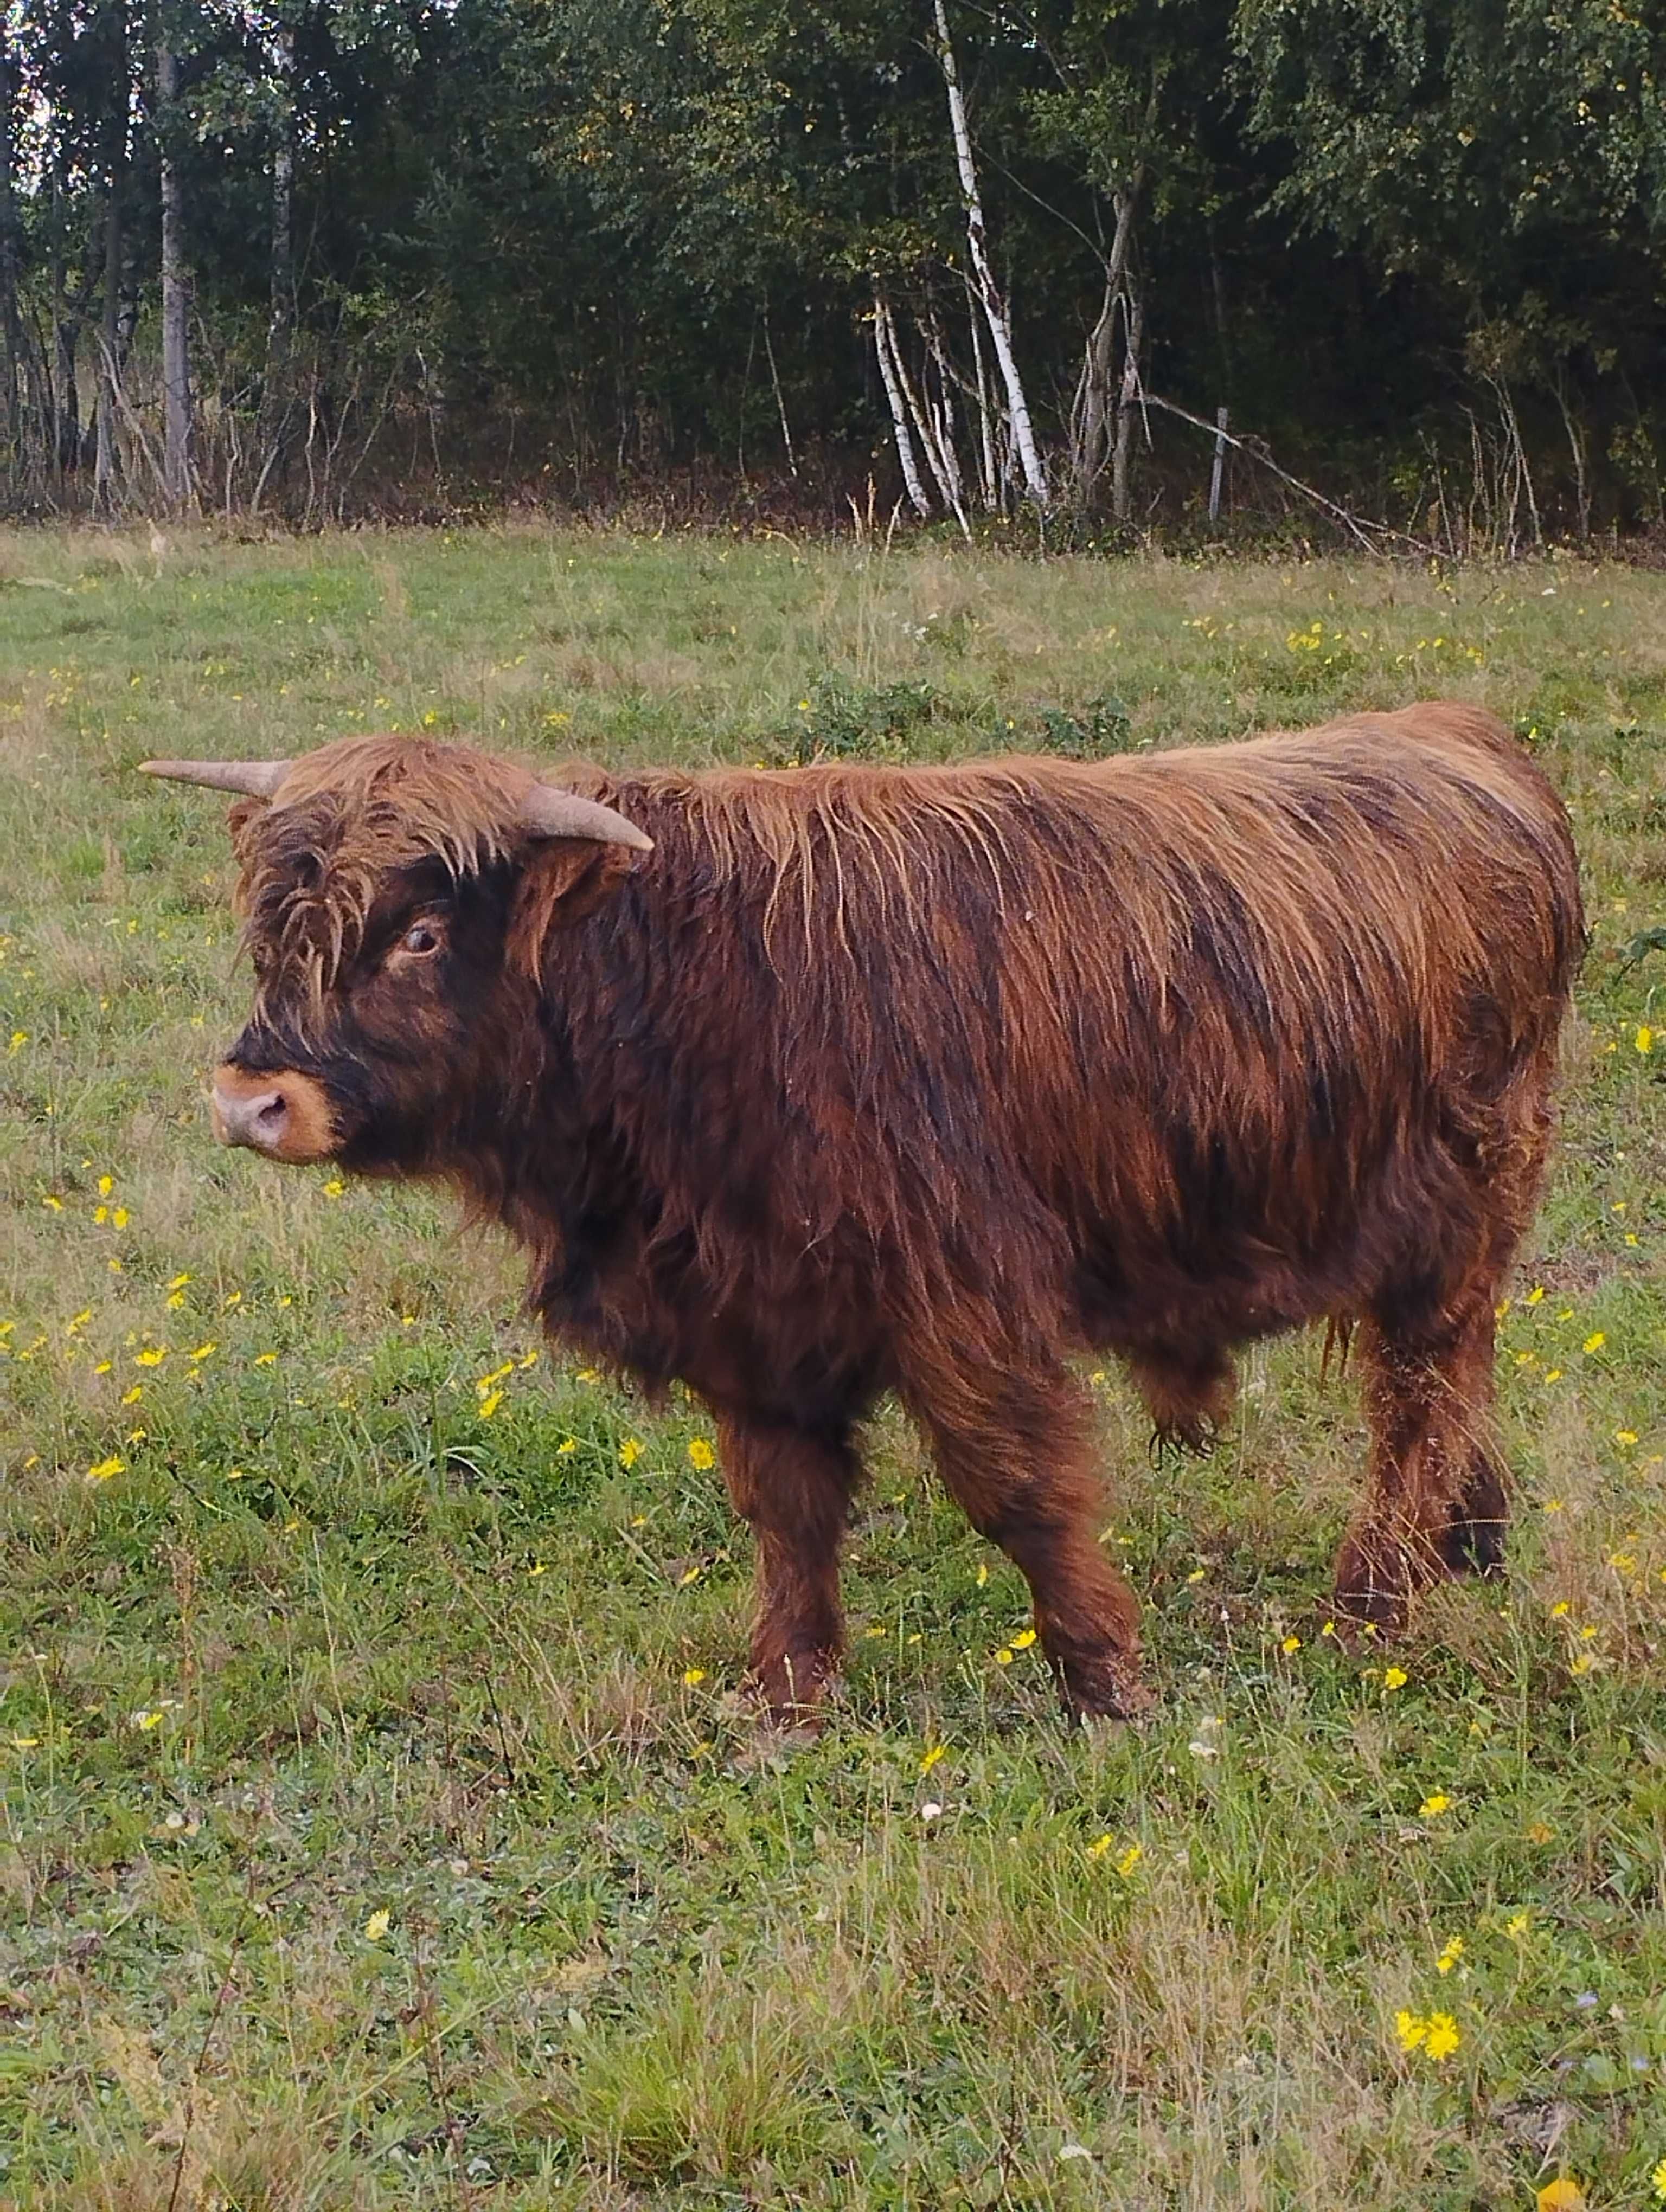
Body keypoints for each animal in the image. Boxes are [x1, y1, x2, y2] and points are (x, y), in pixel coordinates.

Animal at [140, 699, 1575, 1716]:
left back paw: (1374, 1599)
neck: (689, 994)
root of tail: (1458, 735)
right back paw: (1472, 1536)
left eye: (423, 933)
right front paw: (789, 1690)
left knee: (1418, 1386)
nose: (251, 1098)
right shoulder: (751, 1312)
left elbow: (1016, 1486)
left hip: (1456, 1194)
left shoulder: (964, 1293)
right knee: (1454, 1376)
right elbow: (786, 1507)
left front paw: (1104, 1676)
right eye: (274, 922)